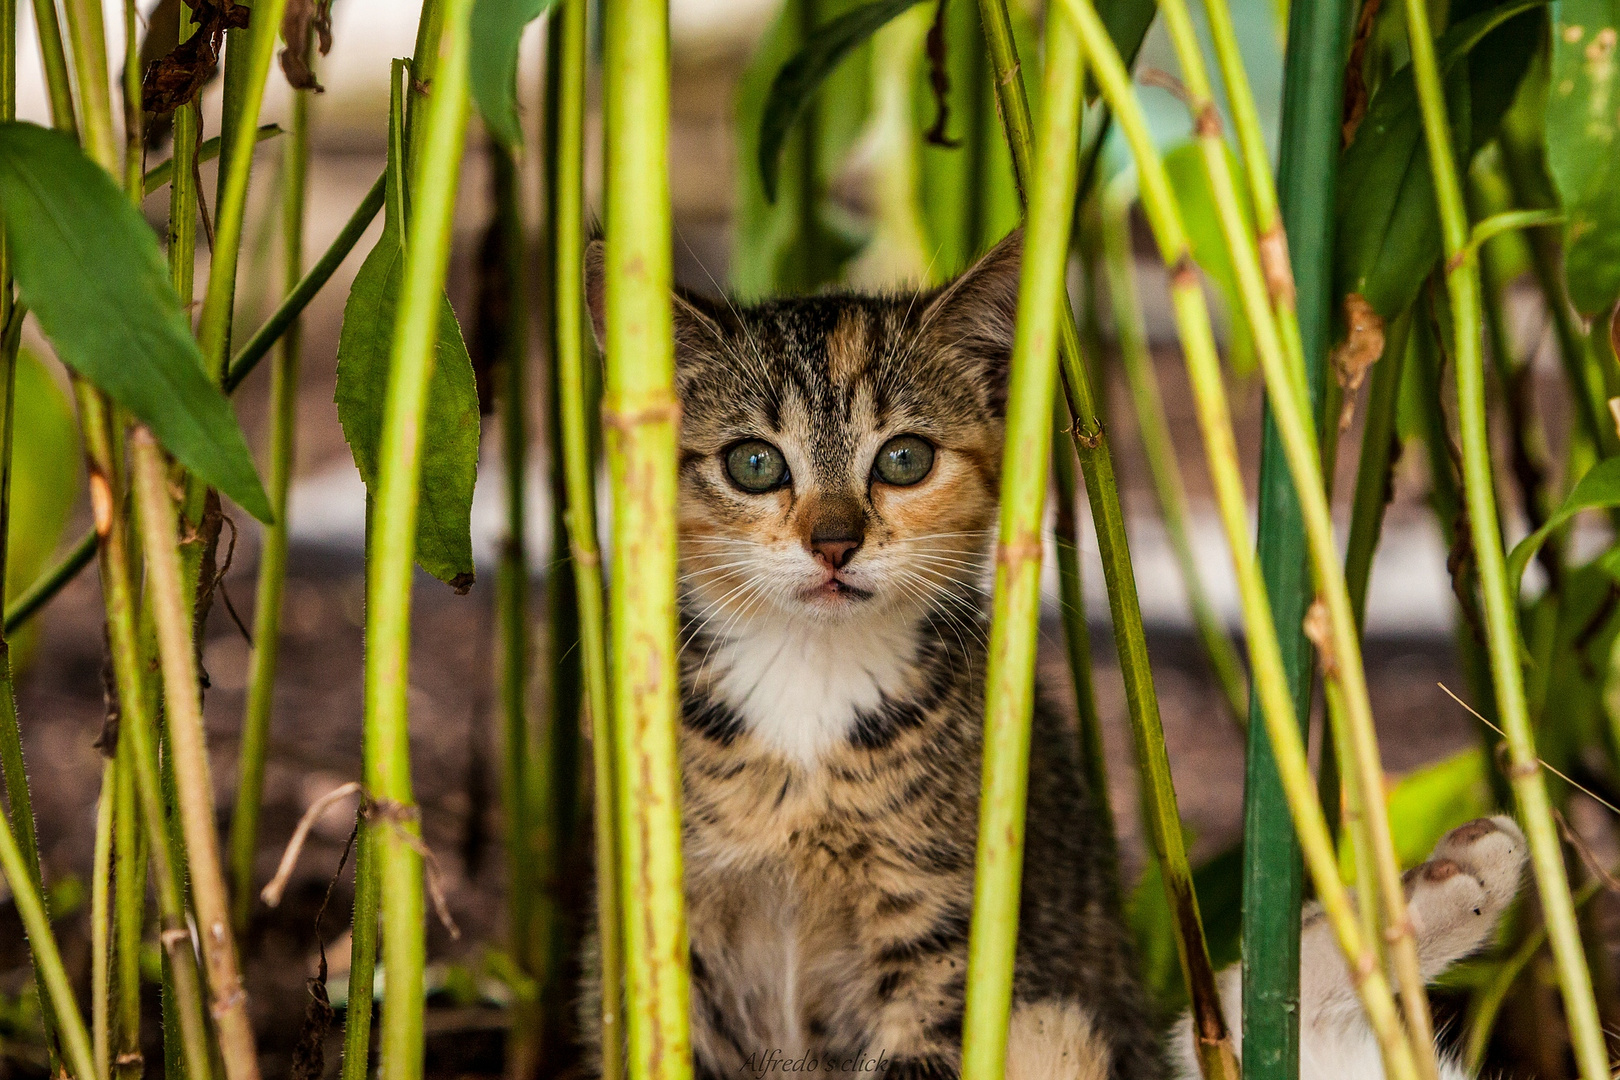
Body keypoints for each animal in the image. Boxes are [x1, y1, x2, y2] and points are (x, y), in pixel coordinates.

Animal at [583, 236, 1529, 1080]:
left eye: (903, 458)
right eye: (753, 463)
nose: (834, 542)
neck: (808, 686)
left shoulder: (952, 936)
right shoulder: (657, 930)